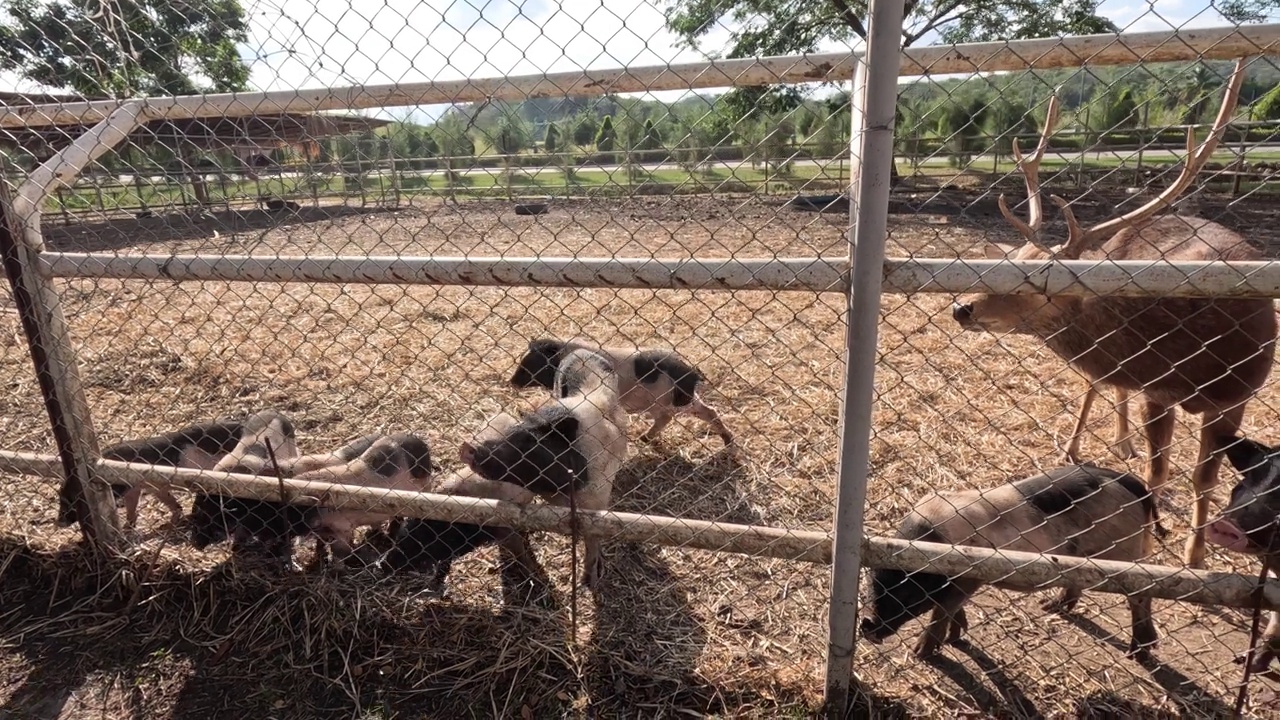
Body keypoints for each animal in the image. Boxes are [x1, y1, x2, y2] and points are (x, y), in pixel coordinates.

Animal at [947, 58, 1274, 566]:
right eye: (1011, 258)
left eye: (1036, 281)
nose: (962, 306)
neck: (1198, 352)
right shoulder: (1158, 391)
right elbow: (1157, 471)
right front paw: (1155, 533)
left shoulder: (1235, 395)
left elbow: (1203, 480)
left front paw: (1194, 554)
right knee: (1098, 383)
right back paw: (1099, 441)